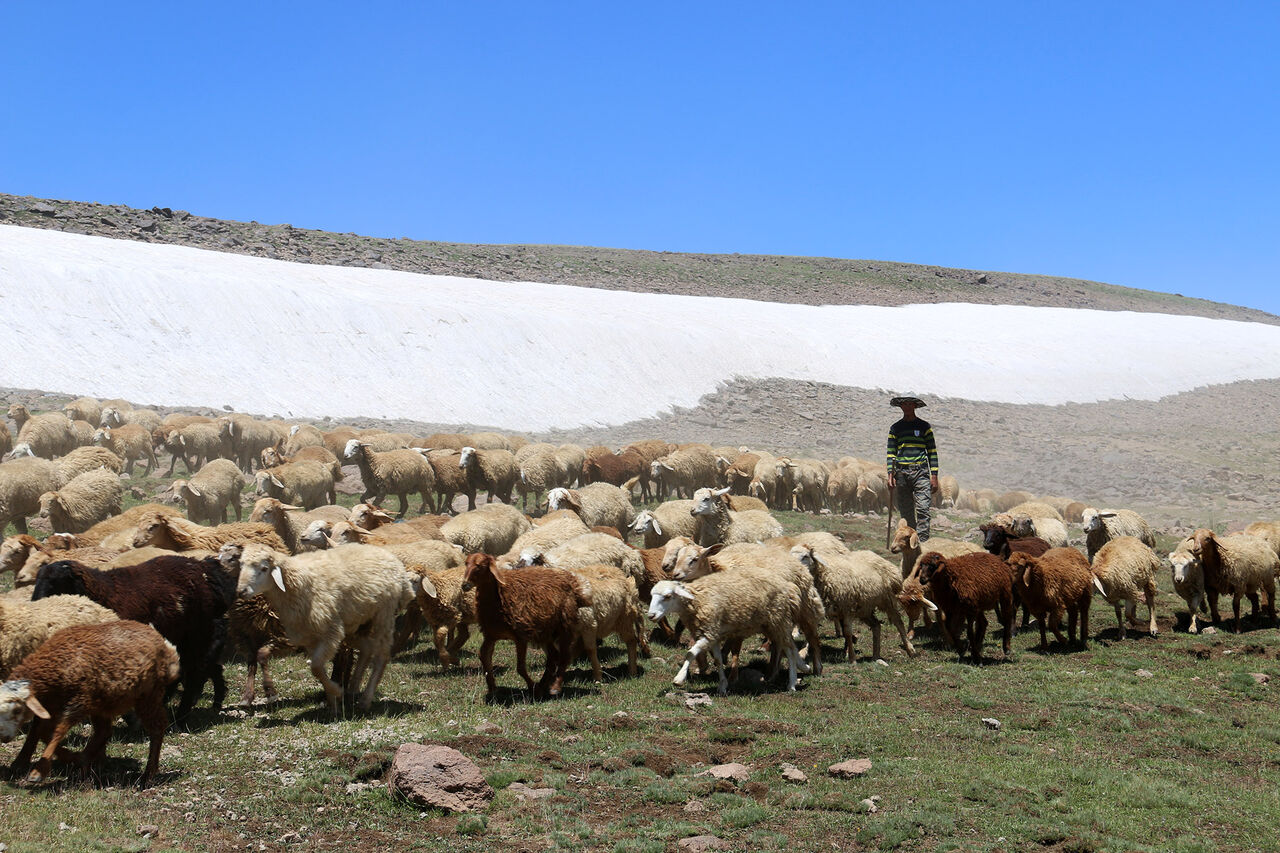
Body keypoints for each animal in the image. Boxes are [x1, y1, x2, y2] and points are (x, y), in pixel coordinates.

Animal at [1, 617, 180, 783]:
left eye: (17, 709)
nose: (3, 738)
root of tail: (164, 644)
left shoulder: (81, 700)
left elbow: (58, 731)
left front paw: (39, 771)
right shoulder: (53, 706)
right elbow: (43, 732)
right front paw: (69, 757)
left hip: (148, 695)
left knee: (157, 727)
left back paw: (148, 773)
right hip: (105, 701)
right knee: (104, 732)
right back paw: (85, 761)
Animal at [33, 550, 235, 717]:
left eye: (55, 581)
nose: (36, 602)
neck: (102, 592)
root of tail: (205, 569)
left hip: (197, 638)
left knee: (194, 675)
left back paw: (181, 716)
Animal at [463, 550, 586, 696]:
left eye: (480, 566)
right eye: (466, 563)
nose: (464, 585)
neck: (500, 597)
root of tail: (569, 580)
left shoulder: (520, 636)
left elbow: (520, 667)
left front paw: (532, 686)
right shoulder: (491, 635)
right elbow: (483, 657)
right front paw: (492, 688)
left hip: (565, 626)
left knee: (564, 656)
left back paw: (555, 687)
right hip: (545, 632)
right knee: (553, 657)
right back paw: (543, 685)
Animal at [788, 540, 921, 660]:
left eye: (806, 556)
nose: (794, 569)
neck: (825, 575)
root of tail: (875, 555)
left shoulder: (847, 607)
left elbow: (847, 632)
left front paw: (852, 658)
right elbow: (812, 631)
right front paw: (802, 652)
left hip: (887, 600)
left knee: (898, 622)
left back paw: (910, 650)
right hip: (865, 607)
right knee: (876, 625)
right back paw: (876, 655)